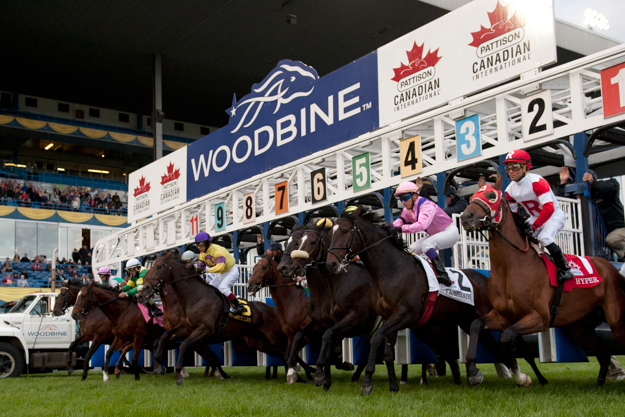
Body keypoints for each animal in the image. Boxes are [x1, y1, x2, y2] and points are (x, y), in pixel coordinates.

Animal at [141, 250, 294, 384]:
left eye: (158, 267)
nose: (144, 289)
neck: (194, 296)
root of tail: (273, 309)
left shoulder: (205, 329)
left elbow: (184, 344)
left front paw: (178, 374)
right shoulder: (186, 328)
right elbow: (164, 336)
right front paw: (157, 364)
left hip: (275, 337)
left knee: (288, 352)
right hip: (259, 341)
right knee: (282, 354)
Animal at [324, 206, 544, 394]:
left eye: (345, 230)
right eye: (330, 234)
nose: (331, 264)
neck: (391, 269)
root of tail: (485, 279)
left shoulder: (405, 314)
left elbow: (377, 338)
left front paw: (367, 383)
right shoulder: (388, 317)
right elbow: (387, 352)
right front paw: (393, 386)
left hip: (498, 315)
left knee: (518, 345)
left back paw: (535, 378)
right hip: (469, 321)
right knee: (495, 348)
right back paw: (489, 376)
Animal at [456, 177, 624, 386]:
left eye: (491, 195)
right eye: (472, 197)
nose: (466, 217)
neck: (511, 267)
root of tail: (610, 266)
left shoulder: (540, 317)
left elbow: (506, 336)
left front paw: (521, 376)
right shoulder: (502, 315)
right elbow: (476, 325)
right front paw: (473, 371)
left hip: (615, 320)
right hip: (580, 326)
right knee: (604, 354)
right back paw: (599, 384)